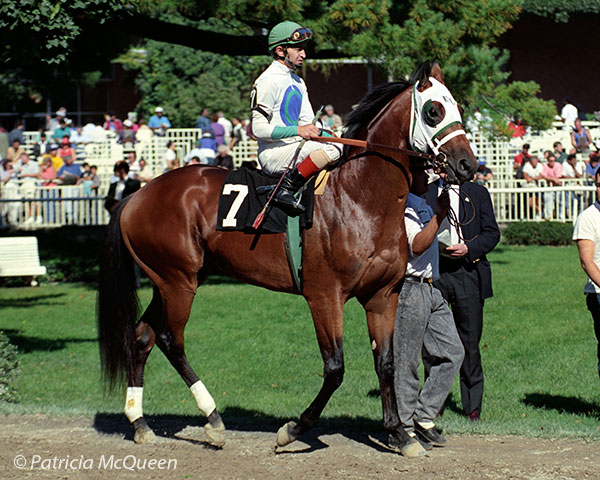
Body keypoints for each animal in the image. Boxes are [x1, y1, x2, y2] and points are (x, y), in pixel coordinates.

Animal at [98, 61, 478, 458]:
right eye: (433, 111)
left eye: (457, 108)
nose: (467, 164)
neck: (359, 197)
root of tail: (136, 195)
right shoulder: (324, 296)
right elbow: (335, 368)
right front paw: (293, 429)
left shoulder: (382, 296)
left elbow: (386, 362)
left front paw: (400, 435)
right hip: (178, 281)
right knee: (171, 339)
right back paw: (213, 420)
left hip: (171, 279)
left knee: (143, 335)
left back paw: (140, 423)